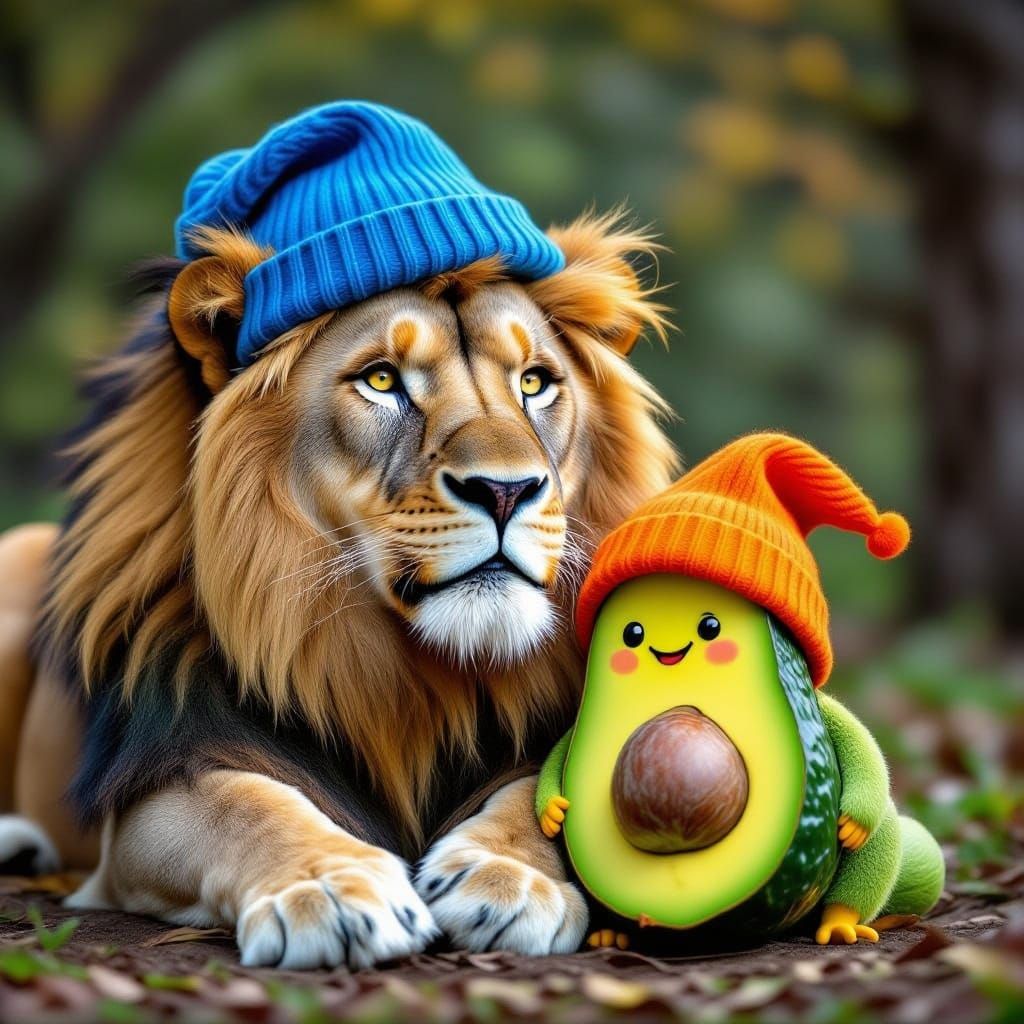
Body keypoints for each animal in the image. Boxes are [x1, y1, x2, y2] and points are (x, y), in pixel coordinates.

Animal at [0, 210, 678, 968]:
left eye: (535, 384)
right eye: (382, 379)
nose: (506, 491)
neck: (415, 678)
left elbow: (540, 795)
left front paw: (507, 877)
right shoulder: (164, 771)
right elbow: (244, 805)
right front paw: (330, 890)